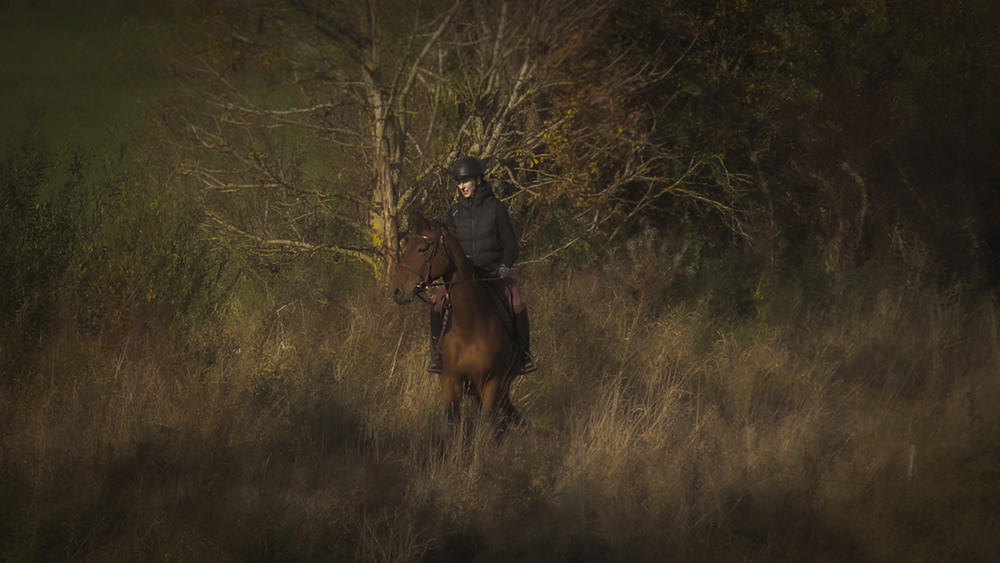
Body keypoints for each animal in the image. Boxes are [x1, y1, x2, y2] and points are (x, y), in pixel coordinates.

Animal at [390, 212, 524, 440]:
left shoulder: (491, 381)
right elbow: (454, 427)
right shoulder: (451, 381)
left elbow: (484, 428)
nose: (397, 291)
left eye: (422, 249)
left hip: (501, 384)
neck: (469, 324)